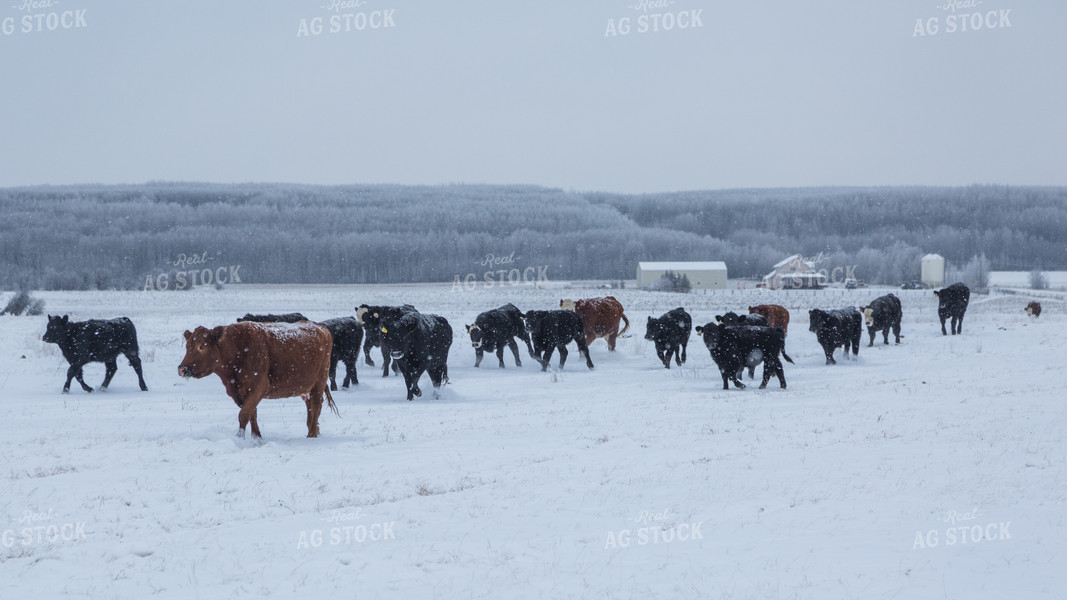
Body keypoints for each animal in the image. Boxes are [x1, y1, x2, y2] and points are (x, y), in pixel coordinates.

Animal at [179, 320, 335, 437]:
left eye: (202, 346)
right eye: (187, 346)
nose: (182, 369)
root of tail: (321, 328)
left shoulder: (259, 387)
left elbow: (244, 414)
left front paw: (240, 438)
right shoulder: (240, 392)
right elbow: (252, 414)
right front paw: (256, 437)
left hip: (320, 380)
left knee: (316, 405)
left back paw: (311, 435)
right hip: (306, 387)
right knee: (311, 407)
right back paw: (314, 431)